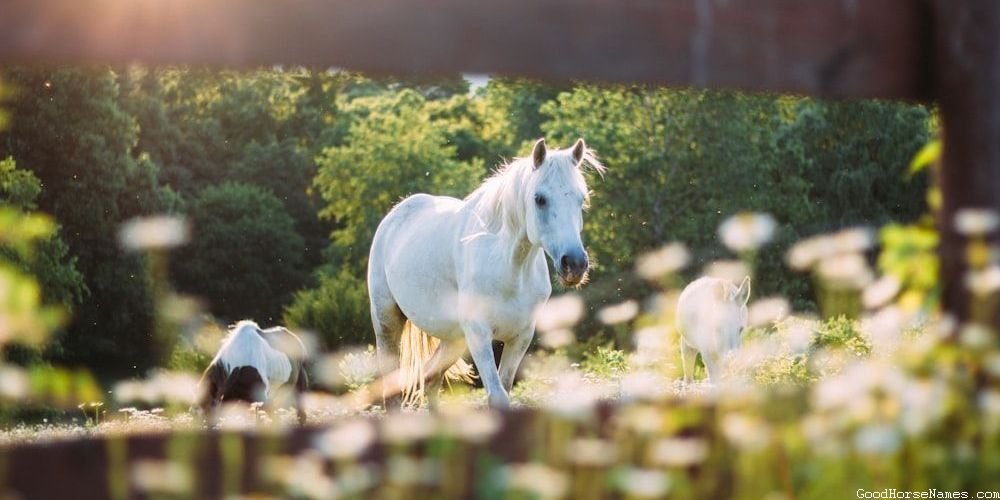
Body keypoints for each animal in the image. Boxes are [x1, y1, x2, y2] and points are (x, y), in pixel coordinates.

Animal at [368, 139, 600, 408]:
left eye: (581, 199)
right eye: (539, 198)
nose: (574, 264)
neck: (509, 269)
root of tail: (395, 215)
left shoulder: (520, 337)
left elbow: (505, 388)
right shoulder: (479, 334)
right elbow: (497, 396)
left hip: (454, 340)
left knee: (432, 378)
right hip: (387, 322)